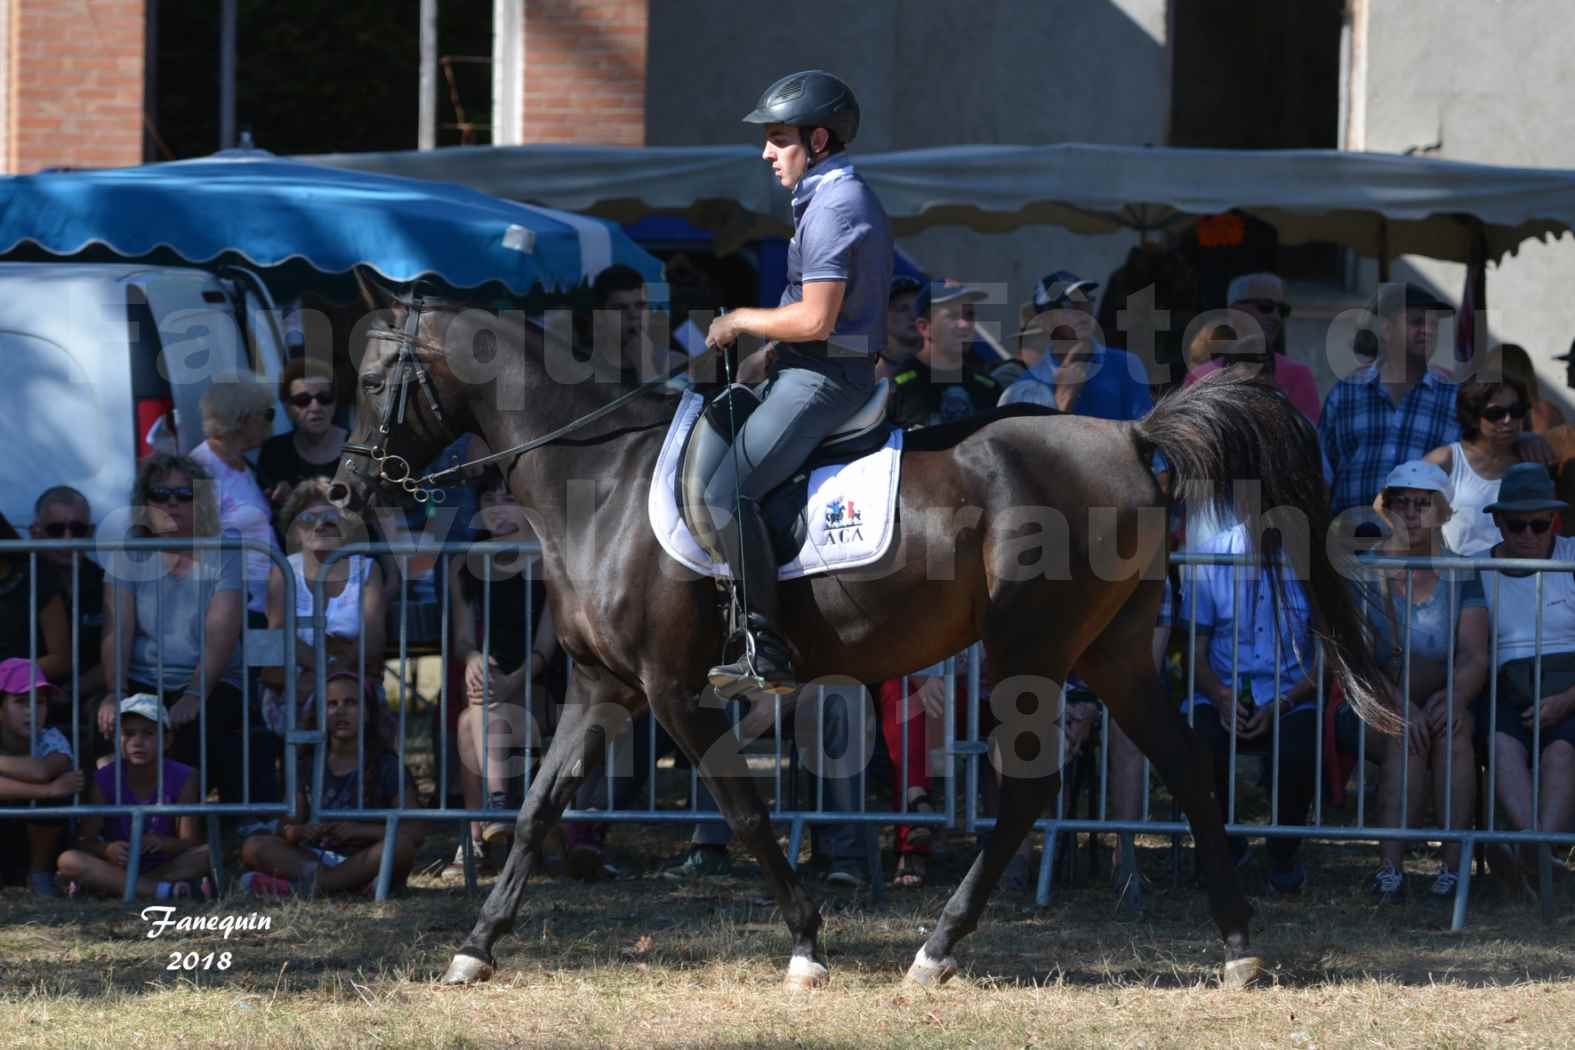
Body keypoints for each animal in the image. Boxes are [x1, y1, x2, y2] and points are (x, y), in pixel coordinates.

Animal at [326, 294, 1386, 994]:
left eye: (377, 378)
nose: (343, 489)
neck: (601, 483)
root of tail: (1129, 435)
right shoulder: (601, 690)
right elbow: (537, 811)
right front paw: (475, 945)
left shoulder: (676, 691)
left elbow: (747, 814)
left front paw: (805, 943)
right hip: (1113, 652)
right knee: (1186, 767)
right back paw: (1237, 945)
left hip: (1028, 652)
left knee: (1027, 793)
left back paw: (935, 950)